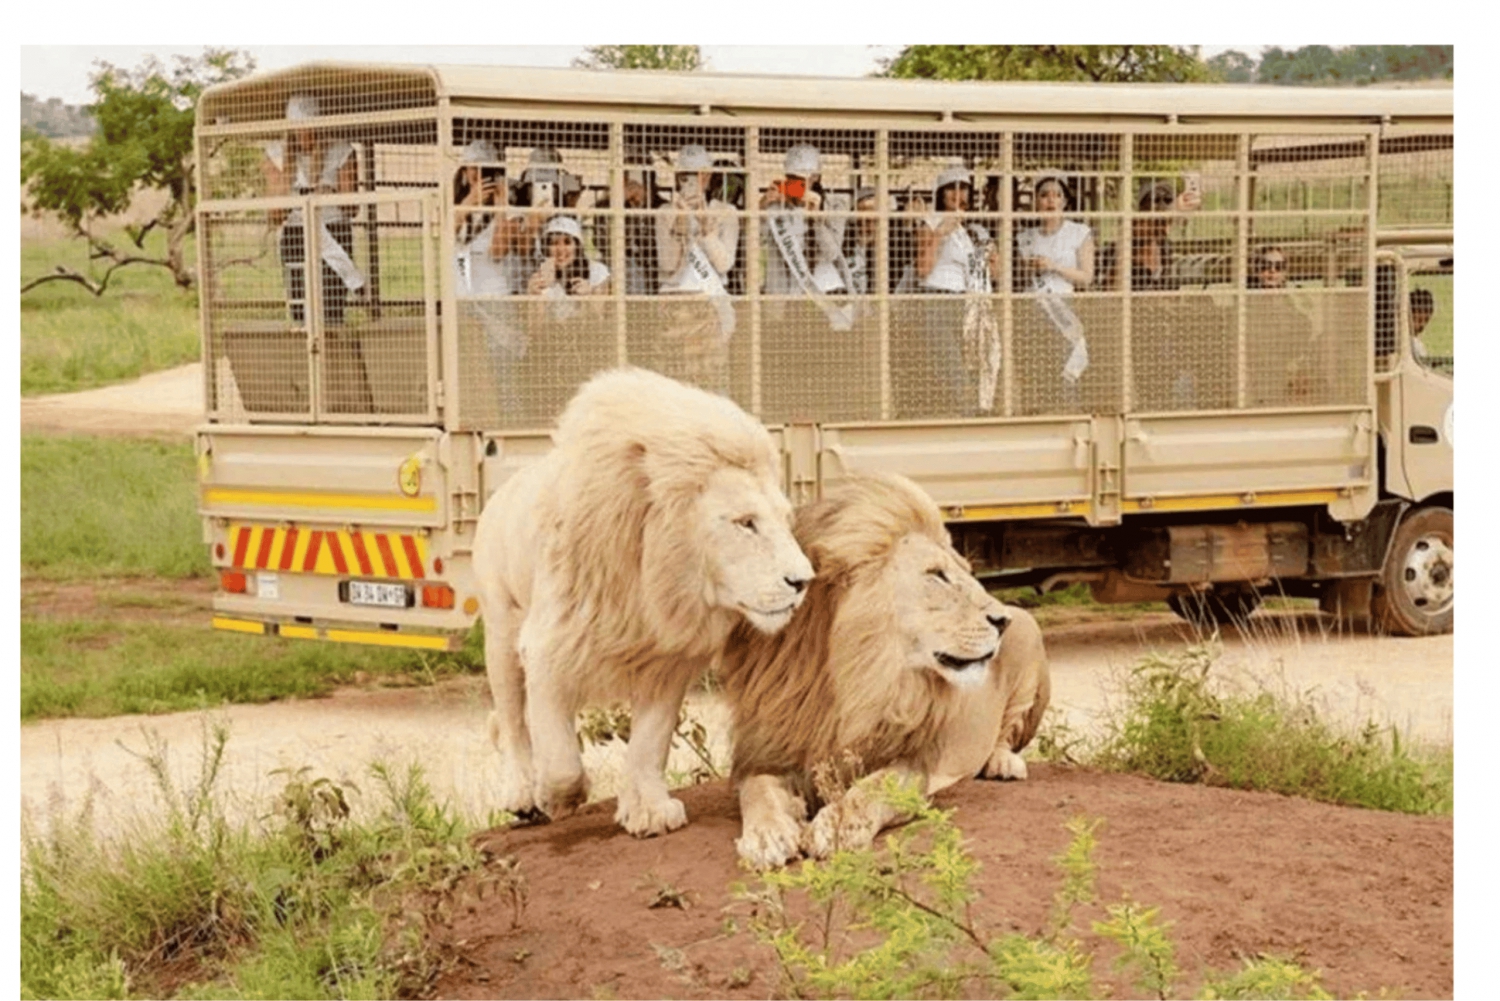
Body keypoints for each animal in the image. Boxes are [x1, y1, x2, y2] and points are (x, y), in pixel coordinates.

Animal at [472, 368, 814, 838]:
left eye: (785, 519)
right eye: (746, 523)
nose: (803, 581)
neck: (656, 582)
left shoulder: (667, 658)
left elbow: (649, 743)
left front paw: (649, 811)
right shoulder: (549, 644)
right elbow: (557, 754)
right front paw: (558, 797)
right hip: (502, 629)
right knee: (512, 721)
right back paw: (523, 792)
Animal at [720, 473, 1051, 869]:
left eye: (968, 573)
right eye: (937, 575)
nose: (1002, 620)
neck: (856, 677)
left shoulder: (915, 762)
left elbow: (874, 787)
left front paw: (839, 823)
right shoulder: (767, 749)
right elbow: (759, 792)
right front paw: (766, 834)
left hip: (1031, 643)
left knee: (1006, 734)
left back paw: (1003, 762)